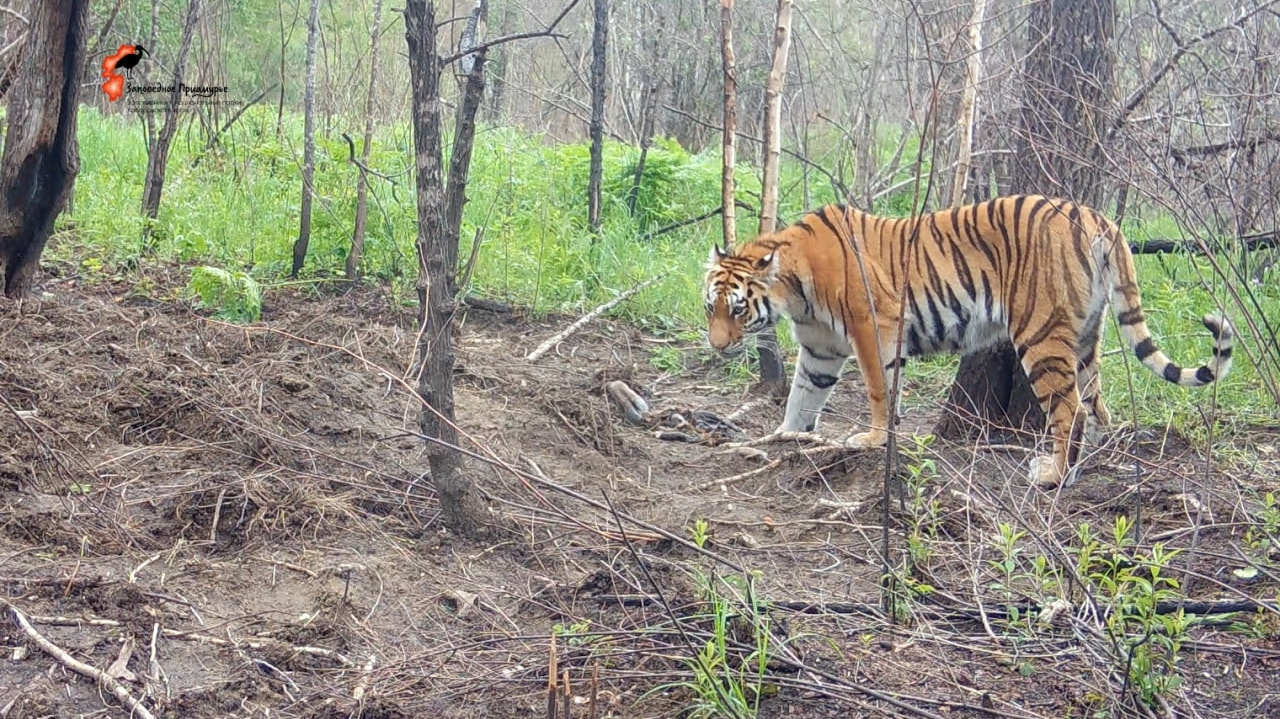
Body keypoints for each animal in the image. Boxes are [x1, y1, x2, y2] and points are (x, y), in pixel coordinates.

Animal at [706, 194, 1233, 486]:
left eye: (738, 308)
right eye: (710, 306)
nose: (717, 346)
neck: (793, 289)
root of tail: (1099, 218)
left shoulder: (873, 326)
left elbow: (878, 389)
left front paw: (873, 439)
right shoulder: (821, 347)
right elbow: (803, 394)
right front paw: (786, 437)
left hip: (1040, 333)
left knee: (1072, 409)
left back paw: (1054, 474)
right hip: (1087, 335)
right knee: (1098, 405)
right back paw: (1086, 462)